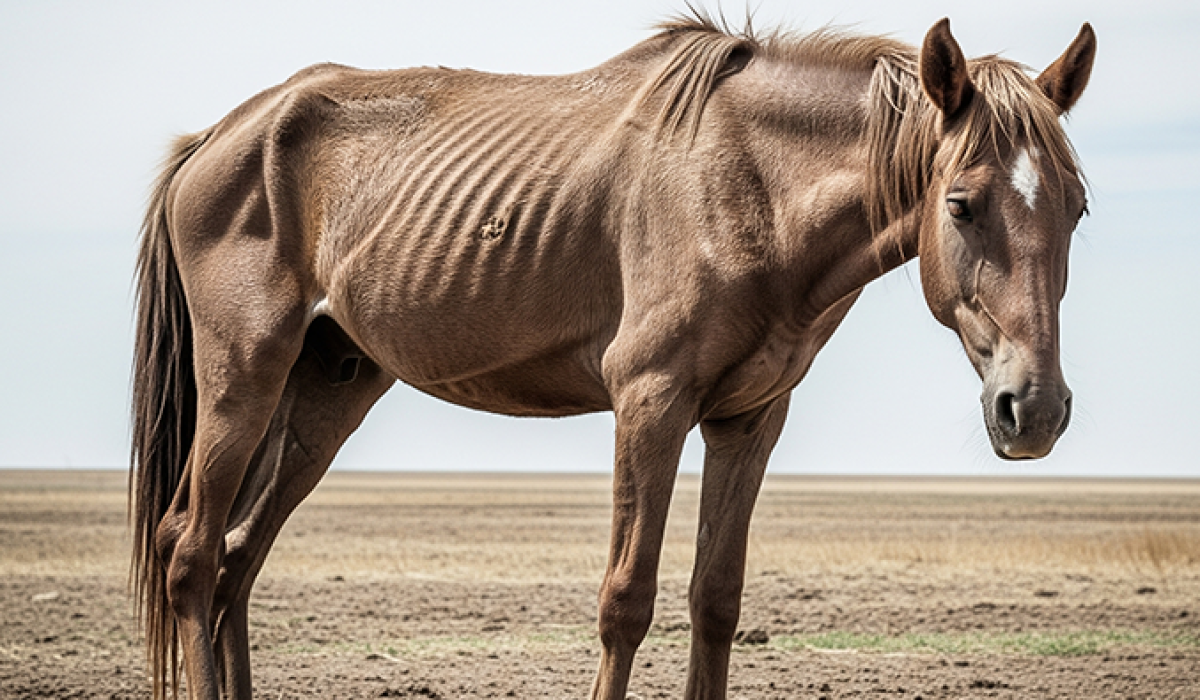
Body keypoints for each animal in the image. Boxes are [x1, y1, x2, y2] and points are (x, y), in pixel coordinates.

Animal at [131, 13, 1096, 700]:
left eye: (1078, 207)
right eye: (962, 203)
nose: (1036, 410)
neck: (750, 186)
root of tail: (217, 137)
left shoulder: (749, 420)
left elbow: (716, 601)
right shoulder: (651, 404)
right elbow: (626, 601)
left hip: (326, 387)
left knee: (236, 559)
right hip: (244, 377)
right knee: (191, 551)